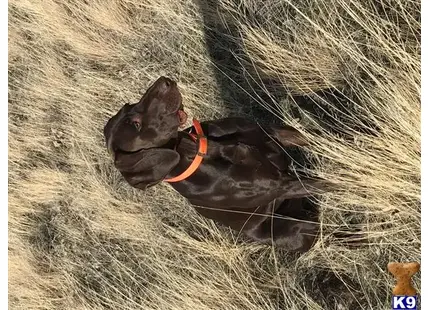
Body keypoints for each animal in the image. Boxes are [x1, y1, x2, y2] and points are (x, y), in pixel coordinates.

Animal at [103, 76, 330, 253]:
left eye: (130, 105)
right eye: (135, 124)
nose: (164, 81)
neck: (206, 150)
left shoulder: (275, 133)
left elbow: (319, 138)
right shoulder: (283, 185)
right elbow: (329, 184)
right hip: (299, 228)